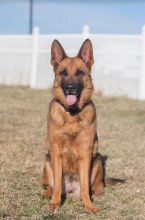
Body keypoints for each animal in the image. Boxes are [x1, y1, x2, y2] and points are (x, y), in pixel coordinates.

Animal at [40, 39, 107, 213]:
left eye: (79, 73)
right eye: (63, 73)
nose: (70, 88)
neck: (71, 115)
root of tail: (70, 190)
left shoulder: (86, 153)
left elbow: (84, 187)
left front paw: (89, 205)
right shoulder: (56, 152)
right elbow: (57, 184)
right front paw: (55, 203)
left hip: (97, 161)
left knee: (93, 188)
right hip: (47, 160)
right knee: (50, 185)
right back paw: (47, 194)